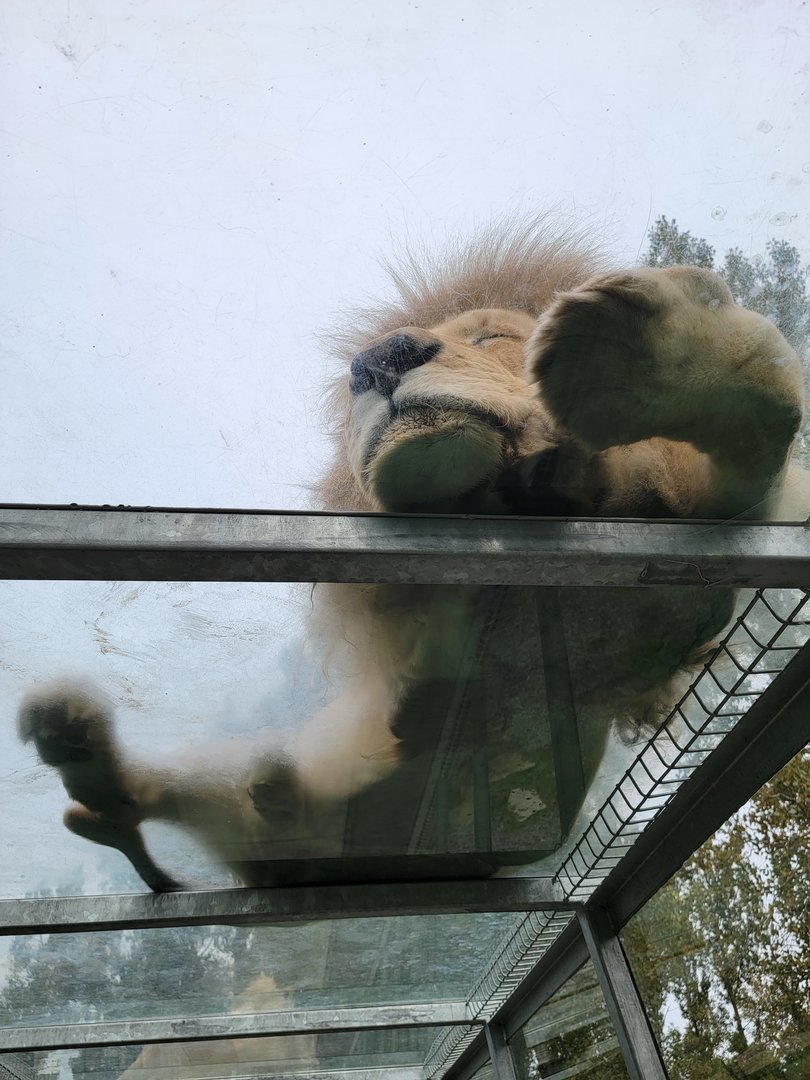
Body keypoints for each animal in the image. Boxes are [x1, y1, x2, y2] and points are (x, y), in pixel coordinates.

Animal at [18, 221, 808, 891]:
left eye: (491, 336)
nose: (377, 360)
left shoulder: (720, 531)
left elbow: (767, 389)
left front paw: (618, 354)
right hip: (246, 776)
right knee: (147, 796)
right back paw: (77, 739)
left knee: (127, 811)